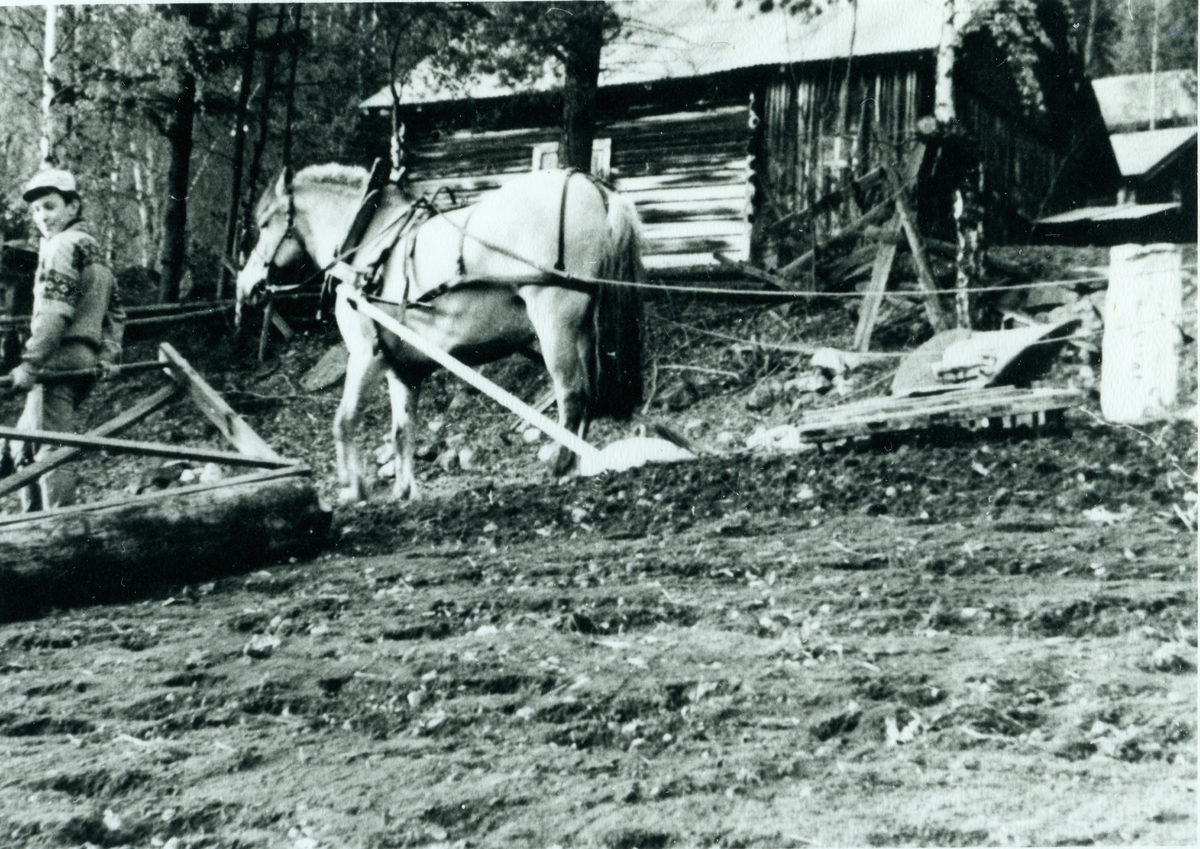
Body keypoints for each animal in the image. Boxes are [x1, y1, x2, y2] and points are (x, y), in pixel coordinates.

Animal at [236, 163, 648, 501]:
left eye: (265, 224)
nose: (245, 286)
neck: (369, 242)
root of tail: (596, 188)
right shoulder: (402, 368)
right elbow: (402, 430)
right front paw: (405, 491)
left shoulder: (366, 353)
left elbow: (345, 420)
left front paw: (354, 489)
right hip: (584, 330)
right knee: (588, 394)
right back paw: (577, 465)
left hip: (555, 322)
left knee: (572, 395)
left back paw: (561, 466)